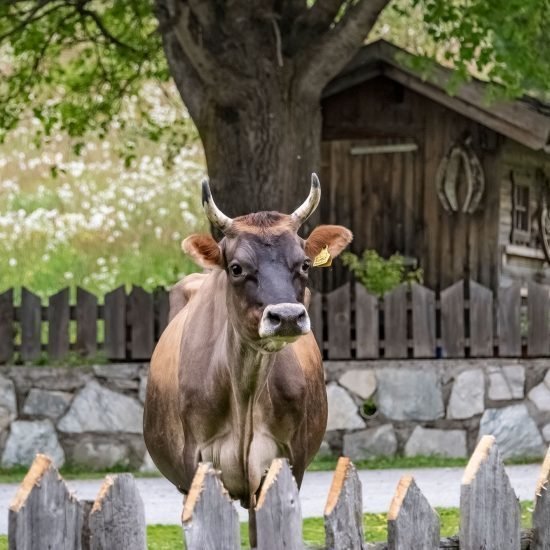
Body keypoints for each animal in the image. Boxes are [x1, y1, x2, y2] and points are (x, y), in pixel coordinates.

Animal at [143, 175, 354, 544]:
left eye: (304, 263)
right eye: (237, 268)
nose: (287, 316)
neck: (245, 390)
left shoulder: (285, 465)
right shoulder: (194, 465)